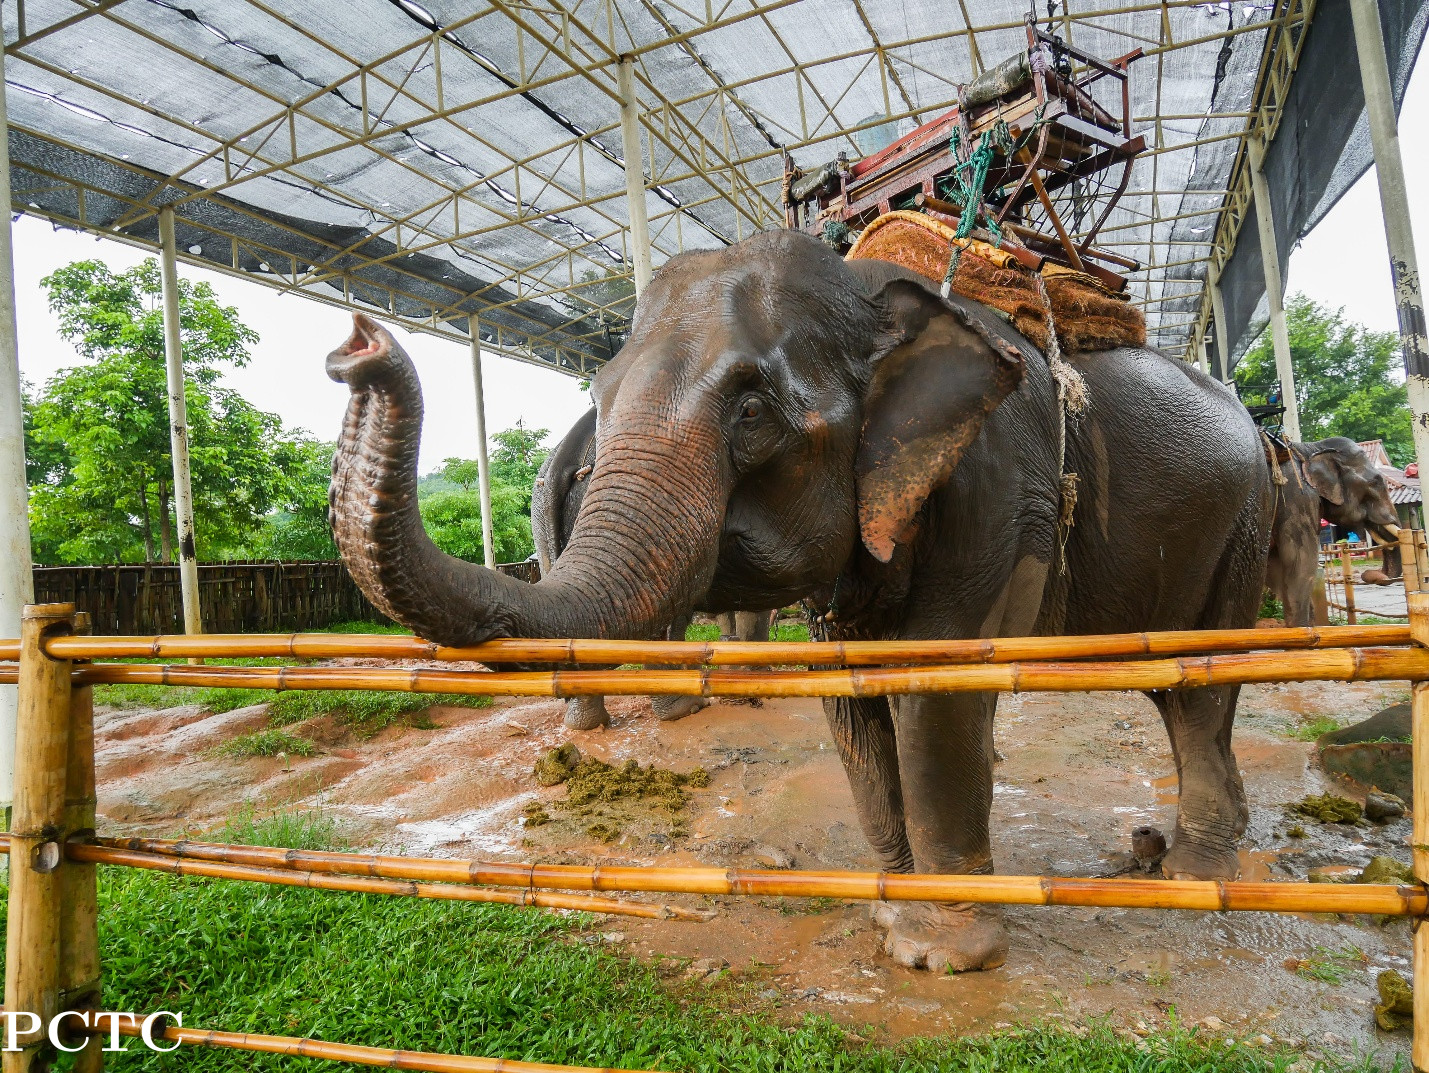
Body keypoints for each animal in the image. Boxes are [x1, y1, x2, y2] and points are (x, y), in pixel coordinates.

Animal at [1264, 436, 1400, 627]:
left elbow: (1275, 571)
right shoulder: (1297, 499)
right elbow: (1300, 565)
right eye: (1375, 482)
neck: (1310, 448)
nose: (1369, 575)